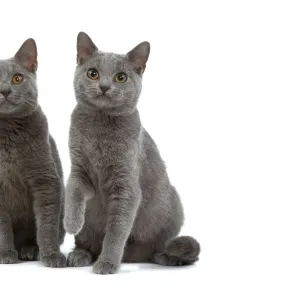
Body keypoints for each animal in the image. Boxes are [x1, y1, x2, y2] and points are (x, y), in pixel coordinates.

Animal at [0, 38, 65, 268]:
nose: (5, 90)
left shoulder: (45, 178)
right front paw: (5, 254)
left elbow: (46, 222)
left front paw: (51, 256)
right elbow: (2, 226)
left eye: (17, 78)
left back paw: (30, 250)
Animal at [64, 32, 200, 274]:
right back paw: (80, 254)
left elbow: (116, 231)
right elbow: (73, 192)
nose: (104, 86)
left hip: (173, 204)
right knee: (88, 243)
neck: (100, 127)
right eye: (92, 73)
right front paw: (71, 222)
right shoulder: (79, 170)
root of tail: (133, 257)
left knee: (159, 247)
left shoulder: (126, 185)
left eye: (120, 77)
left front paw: (107, 263)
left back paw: (168, 257)